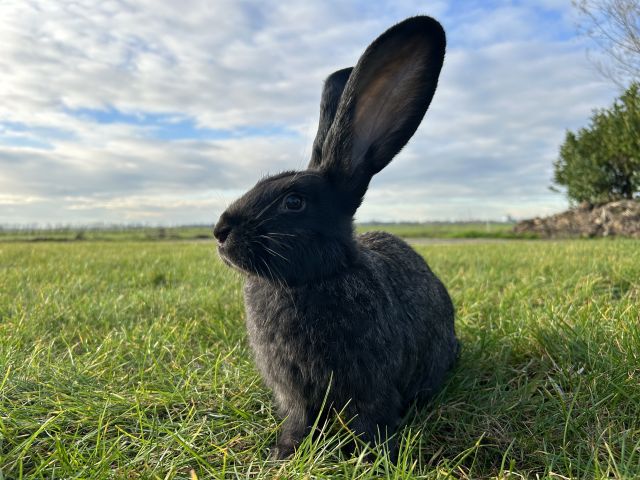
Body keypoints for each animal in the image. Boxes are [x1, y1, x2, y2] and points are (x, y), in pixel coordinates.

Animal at [215, 15, 460, 460]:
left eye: (294, 201)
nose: (220, 232)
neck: (310, 281)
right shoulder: (294, 393)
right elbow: (299, 419)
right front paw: (284, 452)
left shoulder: (370, 388)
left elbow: (368, 419)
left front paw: (368, 455)